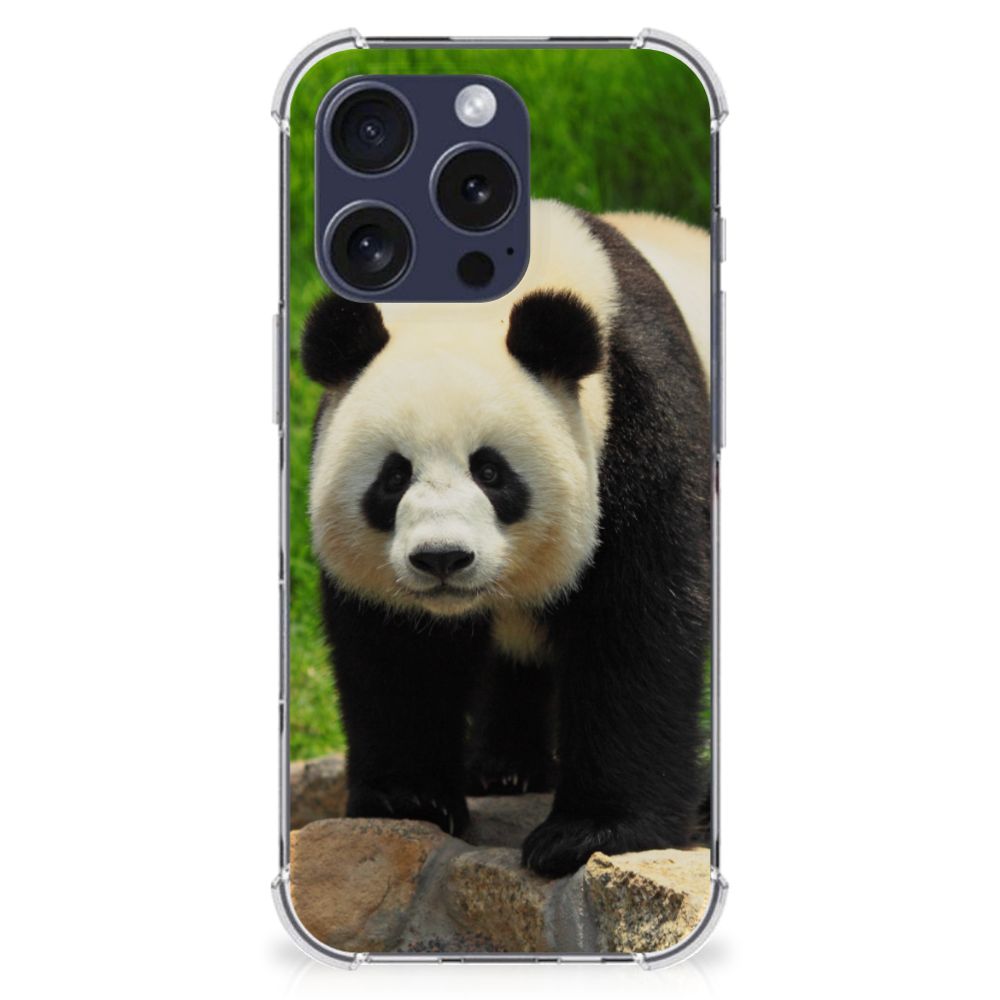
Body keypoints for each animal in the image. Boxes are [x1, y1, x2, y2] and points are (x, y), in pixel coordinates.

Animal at [302, 199, 711, 878]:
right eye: (393, 476)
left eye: (491, 472)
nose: (442, 558)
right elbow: (396, 649)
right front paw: (408, 798)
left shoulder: (641, 422)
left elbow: (638, 624)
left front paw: (590, 832)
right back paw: (504, 769)